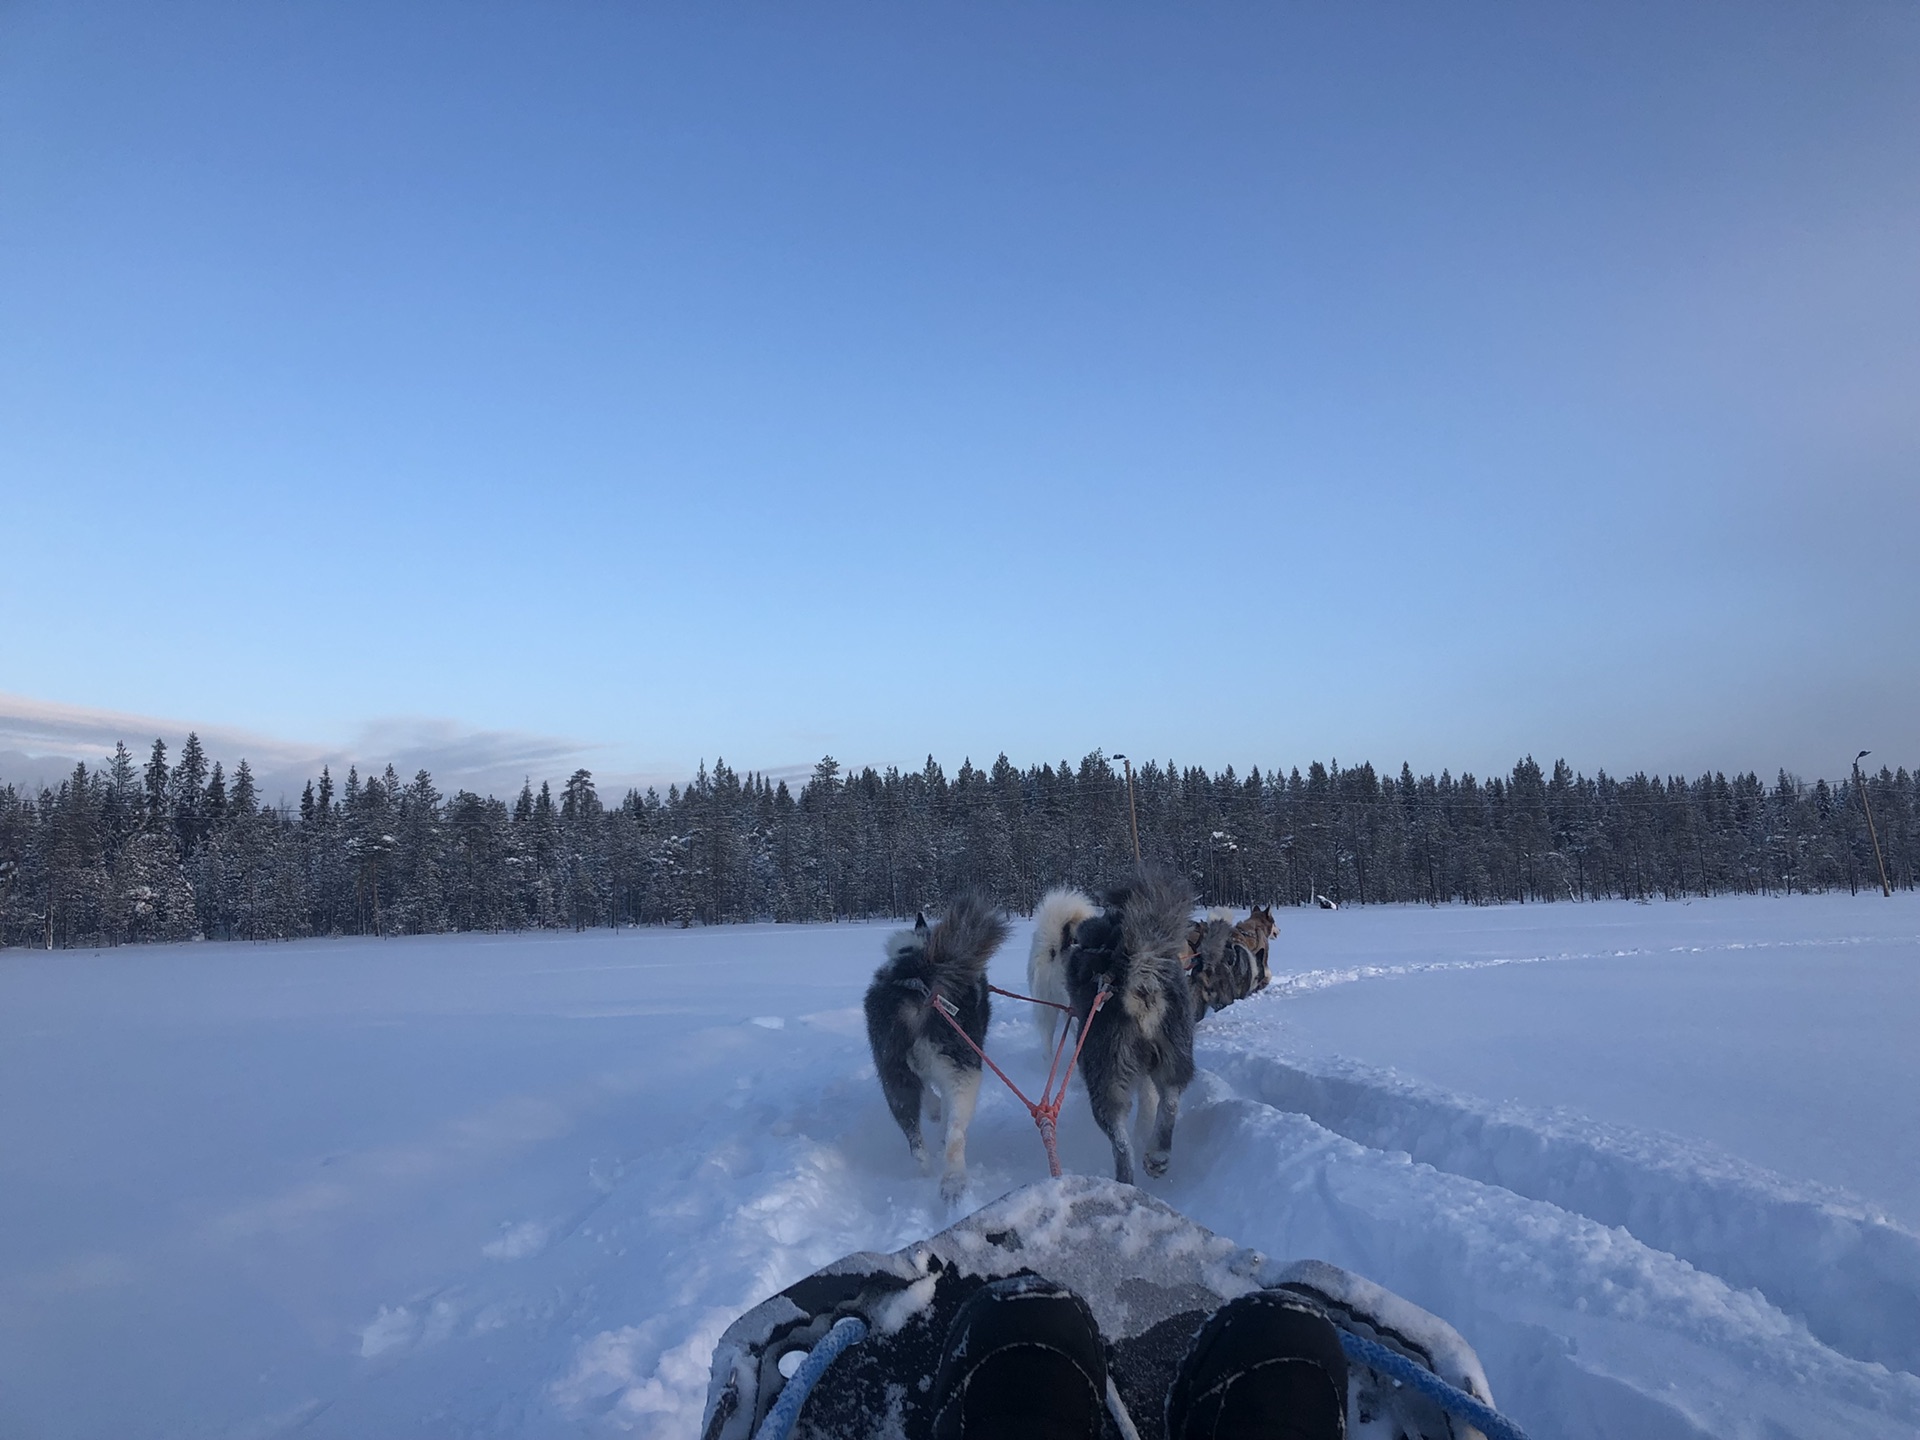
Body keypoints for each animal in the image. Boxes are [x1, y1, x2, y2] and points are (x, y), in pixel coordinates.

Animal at [867, 898, 1013, 1198]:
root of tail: (916, 980)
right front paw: (937, 1115)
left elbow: (930, 1097)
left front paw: (933, 1111)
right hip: (964, 1073)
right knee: (955, 1134)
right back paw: (953, 1177)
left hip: (893, 1076)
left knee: (915, 1141)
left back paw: (928, 1173)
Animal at [1067, 875, 1198, 1190]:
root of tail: (1140, 981)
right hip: (1175, 1053)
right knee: (1170, 1099)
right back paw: (1158, 1154)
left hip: (1106, 1077)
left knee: (1120, 1142)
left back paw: (1123, 1181)